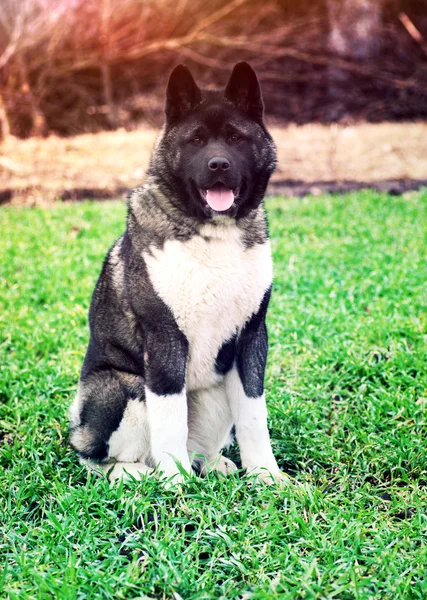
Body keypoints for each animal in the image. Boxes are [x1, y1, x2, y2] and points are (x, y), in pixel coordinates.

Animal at [69, 59, 288, 482]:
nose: (218, 164)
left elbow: (254, 416)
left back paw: (210, 463)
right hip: (122, 387)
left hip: (215, 391)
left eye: (235, 138)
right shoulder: (165, 341)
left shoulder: (252, 339)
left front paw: (266, 475)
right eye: (197, 140)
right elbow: (170, 417)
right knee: (96, 457)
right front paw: (175, 483)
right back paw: (137, 473)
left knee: (198, 443)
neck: (211, 233)